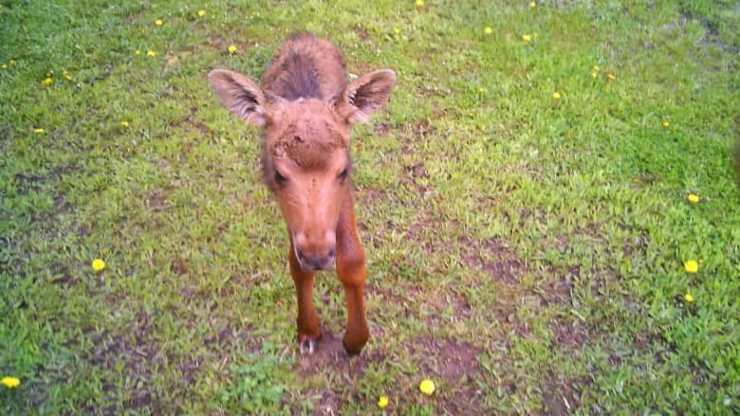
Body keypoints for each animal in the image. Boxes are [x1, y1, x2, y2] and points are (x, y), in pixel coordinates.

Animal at [205, 32, 396, 354]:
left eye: (343, 170)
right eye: (280, 174)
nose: (318, 256)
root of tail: (301, 34)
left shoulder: (345, 193)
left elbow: (352, 259)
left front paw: (355, 339)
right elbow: (296, 265)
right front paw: (308, 330)